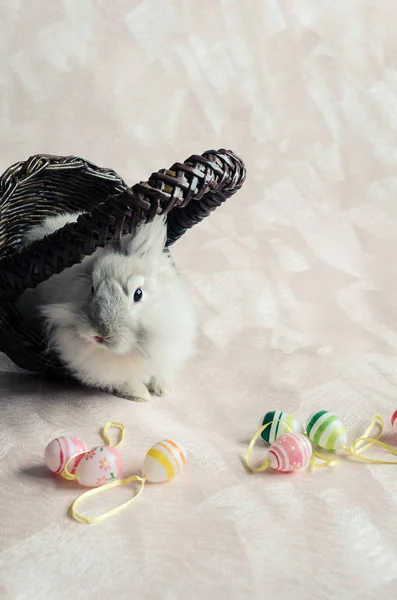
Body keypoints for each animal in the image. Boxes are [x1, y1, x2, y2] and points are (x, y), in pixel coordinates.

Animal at [17, 213, 196, 400]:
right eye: (92, 289)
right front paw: (141, 395)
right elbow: (122, 380)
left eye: (138, 294)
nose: (101, 335)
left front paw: (163, 390)